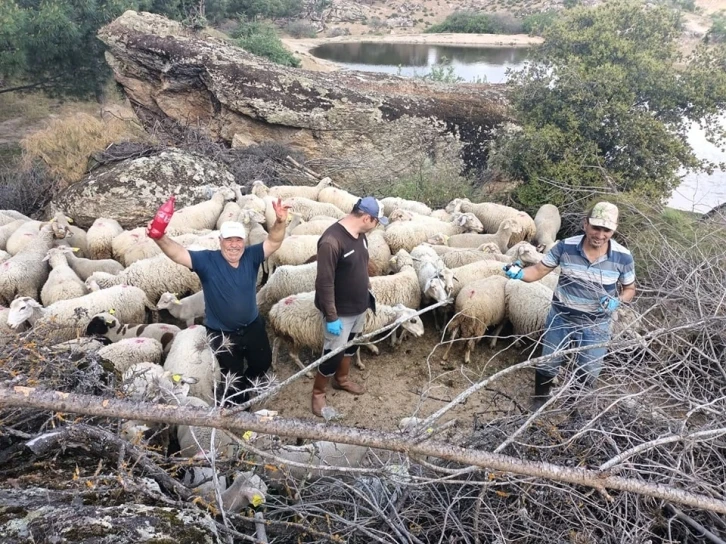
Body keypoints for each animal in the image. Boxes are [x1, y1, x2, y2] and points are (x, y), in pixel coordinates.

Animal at [7, 284, 153, 340]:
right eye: (10, 307)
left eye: (23, 308)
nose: (9, 325)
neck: (44, 316)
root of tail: (142, 295)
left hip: (136, 318)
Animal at [270, 292, 424, 372]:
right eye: (413, 321)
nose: (422, 334)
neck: (376, 314)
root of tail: (274, 312)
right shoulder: (357, 332)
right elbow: (359, 348)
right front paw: (361, 362)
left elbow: (364, 342)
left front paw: (372, 349)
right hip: (295, 336)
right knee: (293, 355)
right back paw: (307, 372)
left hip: (285, 334)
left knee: (276, 344)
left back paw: (274, 364)